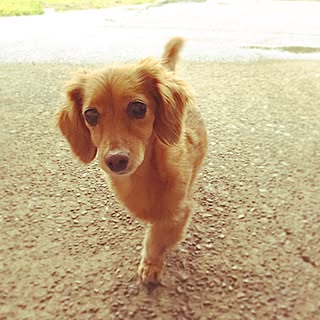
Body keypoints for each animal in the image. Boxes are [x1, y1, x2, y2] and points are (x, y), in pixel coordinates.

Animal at [55, 36, 208, 284]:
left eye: (138, 107)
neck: (144, 175)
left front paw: (151, 265)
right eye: (90, 114)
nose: (116, 160)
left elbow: (157, 236)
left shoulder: (178, 211)